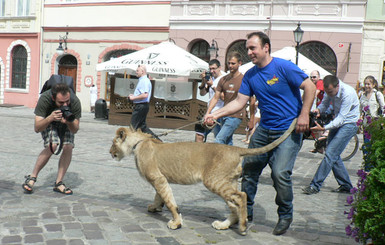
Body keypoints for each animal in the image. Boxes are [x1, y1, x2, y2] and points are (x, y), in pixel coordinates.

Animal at [109, 118, 296, 235]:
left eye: (113, 143)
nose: (110, 152)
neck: (138, 143)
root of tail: (234, 149)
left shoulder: (158, 178)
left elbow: (170, 202)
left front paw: (176, 223)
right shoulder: (160, 179)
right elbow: (159, 196)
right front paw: (155, 207)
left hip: (213, 181)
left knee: (242, 196)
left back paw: (243, 227)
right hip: (226, 182)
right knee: (234, 205)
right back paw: (223, 225)